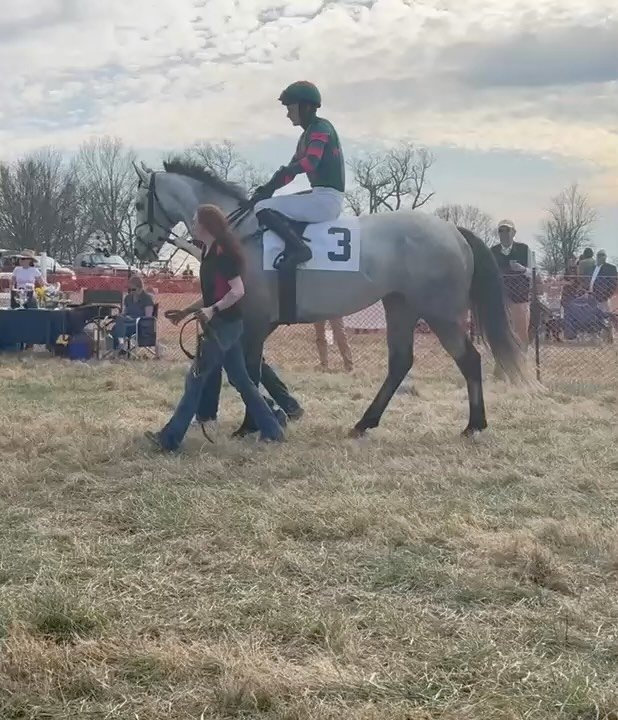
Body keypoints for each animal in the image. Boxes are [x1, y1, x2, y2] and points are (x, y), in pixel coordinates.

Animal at [132, 158, 525, 438]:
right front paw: (271, 415)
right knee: (400, 362)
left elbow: (251, 370)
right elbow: (249, 369)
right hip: (400, 306)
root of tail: (452, 231)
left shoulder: (256, 321)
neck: (239, 233)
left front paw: (250, 425)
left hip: (440, 313)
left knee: (469, 359)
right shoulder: (253, 322)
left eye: (136, 204)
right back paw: (364, 423)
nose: (139, 250)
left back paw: (474, 425)